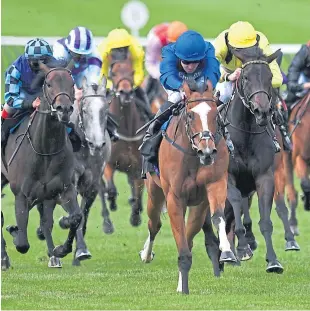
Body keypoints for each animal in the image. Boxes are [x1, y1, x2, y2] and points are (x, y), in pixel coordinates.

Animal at [1, 62, 86, 270]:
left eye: (72, 83)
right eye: (48, 84)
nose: (64, 108)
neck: (45, 149)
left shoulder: (64, 188)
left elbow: (75, 217)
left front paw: (60, 248)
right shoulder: (21, 195)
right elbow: (22, 244)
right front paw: (15, 232)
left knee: (46, 220)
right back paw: (4, 258)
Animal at [101, 59, 145, 228]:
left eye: (132, 72)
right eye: (113, 73)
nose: (125, 93)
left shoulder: (138, 167)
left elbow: (139, 194)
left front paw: (135, 217)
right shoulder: (109, 163)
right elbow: (111, 189)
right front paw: (112, 202)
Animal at [139, 82, 236, 294]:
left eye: (215, 114)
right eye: (191, 115)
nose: (207, 150)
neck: (193, 155)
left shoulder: (214, 185)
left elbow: (217, 217)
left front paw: (227, 252)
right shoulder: (175, 198)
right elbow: (181, 247)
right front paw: (184, 289)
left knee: (189, 237)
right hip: (154, 194)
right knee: (154, 224)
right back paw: (146, 254)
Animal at [222, 47, 284, 274]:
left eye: (270, 77)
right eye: (246, 77)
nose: (262, 111)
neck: (246, 133)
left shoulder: (264, 176)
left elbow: (265, 221)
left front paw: (273, 261)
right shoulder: (228, 177)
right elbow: (235, 211)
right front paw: (239, 249)